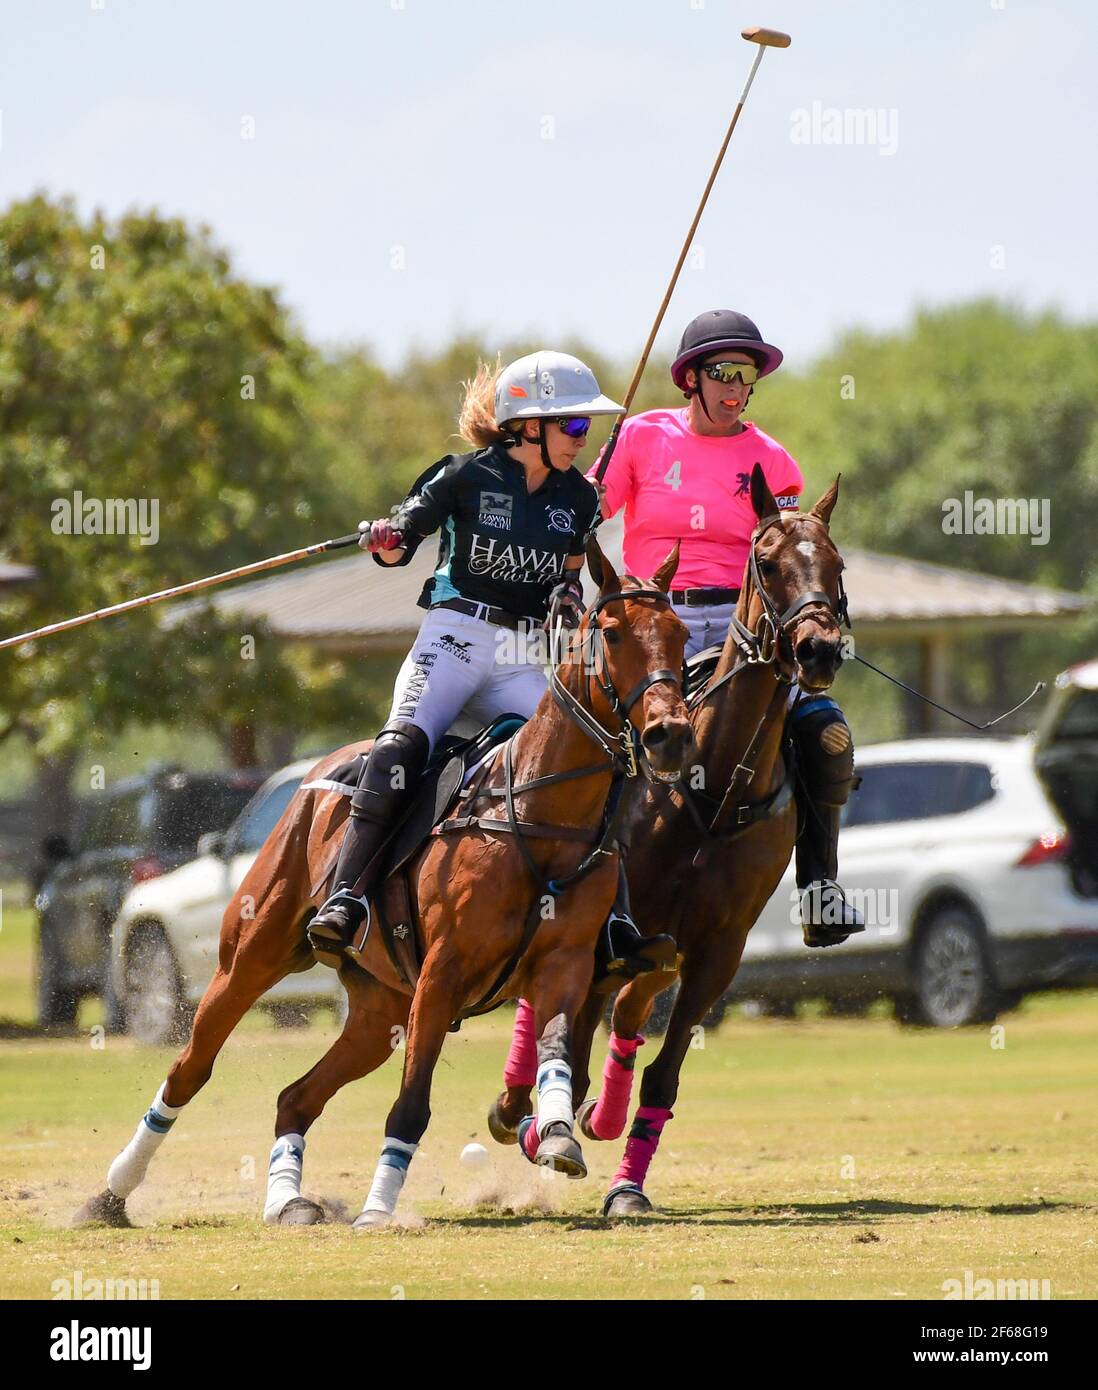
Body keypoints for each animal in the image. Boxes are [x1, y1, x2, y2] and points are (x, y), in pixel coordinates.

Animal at [77, 536, 692, 1234]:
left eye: (679, 633)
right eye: (612, 633)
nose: (671, 736)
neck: (542, 814)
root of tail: (317, 773)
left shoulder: (563, 962)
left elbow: (558, 1049)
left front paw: (558, 1135)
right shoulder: (443, 972)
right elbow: (411, 1102)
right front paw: (377, 1210)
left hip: (380, 1008)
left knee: (296, 1097)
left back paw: (288, 1202)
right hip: (250, 960)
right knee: (190, 1069)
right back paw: (111, 1194)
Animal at [489, 467, 850, 1217]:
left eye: (836, 566)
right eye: (768, 562)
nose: (819, 651)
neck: (714, 791)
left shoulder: (717, 949)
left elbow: (663, 1073)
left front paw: (626, 1185)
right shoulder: (607, 929)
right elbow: (566, 1036)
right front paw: (540, 1125)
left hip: (665, 945)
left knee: (629, 1012)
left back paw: (596, 1116)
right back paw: (519, 1107)